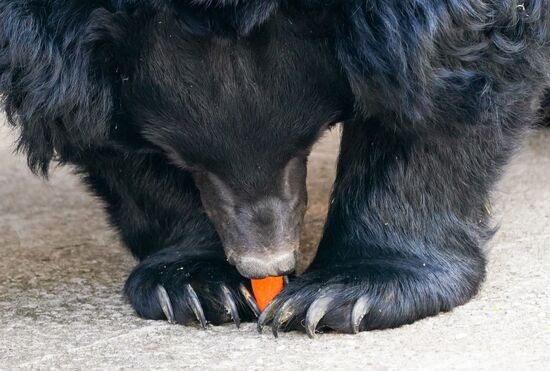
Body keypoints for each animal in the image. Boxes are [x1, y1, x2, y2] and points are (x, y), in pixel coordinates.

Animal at [0, 0, 548, 338]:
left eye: (302, 140)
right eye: (184, 157)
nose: (266, 265)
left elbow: (439, 70)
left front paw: (341, 294)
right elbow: (88, 120)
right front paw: (194, 285)